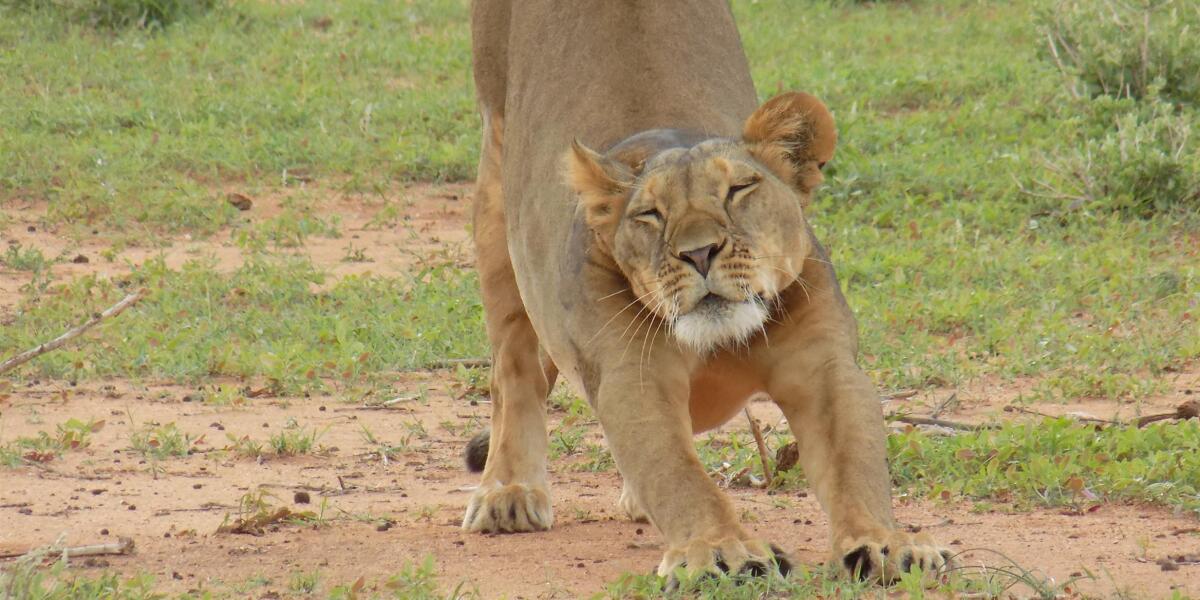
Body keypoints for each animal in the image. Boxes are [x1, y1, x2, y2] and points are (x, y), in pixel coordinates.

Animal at [461, 0, 952, 586]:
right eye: (651, 215)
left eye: (738, 190)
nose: (698, 253)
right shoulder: (633, 378)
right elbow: (677, 473)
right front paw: (723, 552)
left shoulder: (826, 367)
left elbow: (854, 460)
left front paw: (885, 544)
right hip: (496, 184)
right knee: (512, 367)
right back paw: (507, 492)